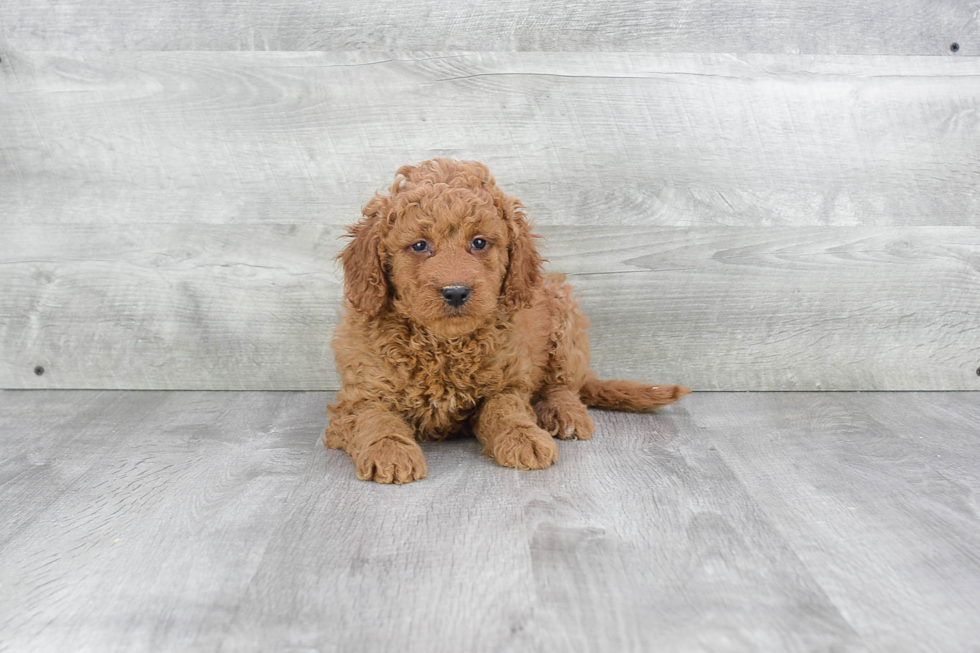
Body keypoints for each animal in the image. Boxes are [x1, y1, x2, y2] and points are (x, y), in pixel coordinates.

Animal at [330, 160, 688, 482]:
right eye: (419, 245)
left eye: (479, 242)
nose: (456, 292)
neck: (444, 345)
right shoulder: (359, 396)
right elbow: (374, 419)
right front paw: (389, 450)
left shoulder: (507, 383)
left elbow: (506, 410)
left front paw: (523, 437)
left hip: (564, 318)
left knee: (563, 385)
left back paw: (564, 413)